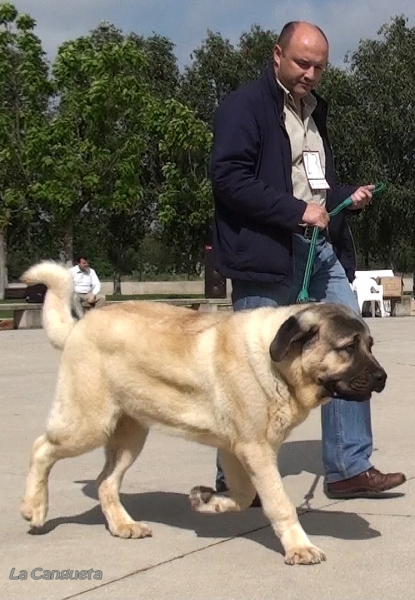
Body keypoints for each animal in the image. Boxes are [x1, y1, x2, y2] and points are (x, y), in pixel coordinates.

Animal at [21, 262, 388, 564]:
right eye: (348, 348)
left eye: (370, 345)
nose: (383, 377)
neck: (278, 365)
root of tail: (78, 326)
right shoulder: (255, 449)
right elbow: (278, 501)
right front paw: (299, 547)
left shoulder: (235, 450)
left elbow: (245, 494)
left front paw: (208, 501)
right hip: (87, 423)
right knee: (41, 448)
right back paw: (34, 508)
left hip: (130, 436)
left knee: (105, 482)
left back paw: (123, 525)